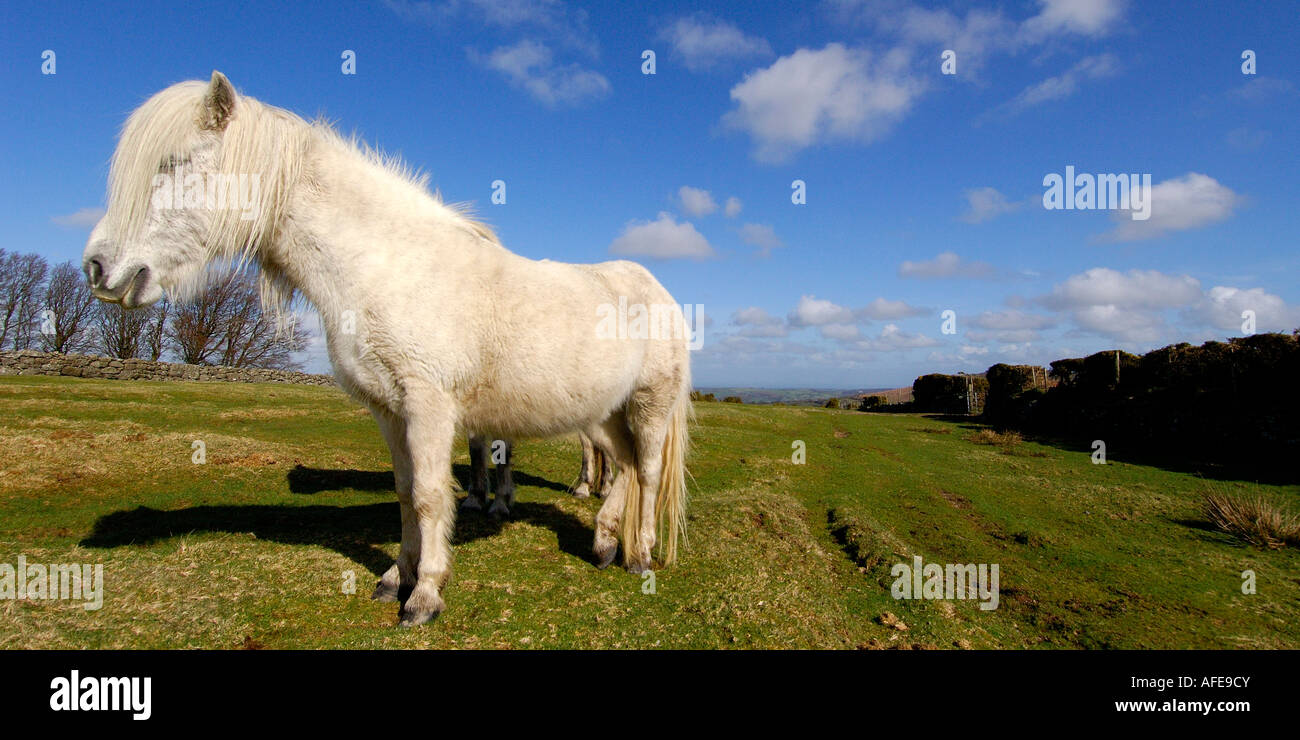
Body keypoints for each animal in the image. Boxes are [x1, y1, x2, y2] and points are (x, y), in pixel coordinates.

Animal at [81, 72, 691, 624]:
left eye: (175, 163)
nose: (98, 269)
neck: (387, 264)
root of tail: (658, 290)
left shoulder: (429, 407)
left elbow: (428, 495)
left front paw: (425, 595)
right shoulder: (388, 410)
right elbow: (403, 493)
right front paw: (396, 577)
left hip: (648, 405)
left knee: (647, 472)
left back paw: (639, 556)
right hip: (607, 412)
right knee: (626, 467)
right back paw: (605, 545)